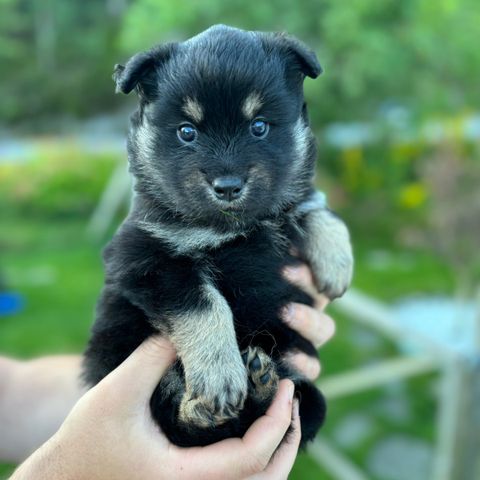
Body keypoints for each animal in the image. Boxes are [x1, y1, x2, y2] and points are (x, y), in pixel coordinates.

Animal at [82, 25, 352, 446]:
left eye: (259, 126)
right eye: (187, 132)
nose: (227, 187)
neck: (233, 226)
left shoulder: (284, 206)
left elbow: (312, 206)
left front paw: (337, 262)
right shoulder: (147, 258)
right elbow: (205, 305)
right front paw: (219, 376)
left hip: (305, 396)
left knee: (302, 405)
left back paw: (262, 384)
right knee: (181, 425)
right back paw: (204, 408)